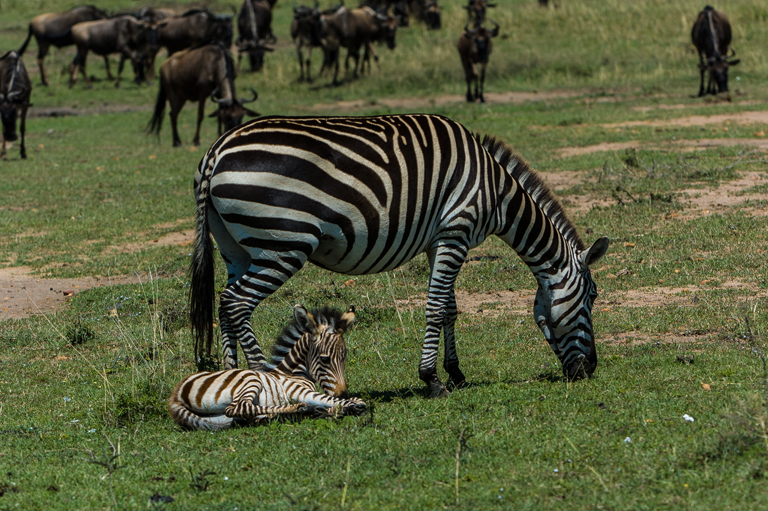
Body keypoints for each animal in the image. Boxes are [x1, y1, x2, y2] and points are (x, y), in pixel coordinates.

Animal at [167, 304, 364, 432]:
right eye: (324, 359)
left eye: (344, 358)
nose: (342, 393)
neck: (292, 371)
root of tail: (175, 394)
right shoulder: (297, 390)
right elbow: (334, 401)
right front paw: (350, 404)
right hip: (249, 379)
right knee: (239, 407)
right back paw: (300, 409)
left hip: (217, 416)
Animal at [190, 115, 608, 400]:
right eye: (592, 298)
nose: (589, 369)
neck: (496, 191)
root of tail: (216, 151)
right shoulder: (456, 229)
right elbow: (436, 308)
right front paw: (433, 379)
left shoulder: (439, 239)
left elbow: (450, 309)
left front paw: (456, 373)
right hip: (283, 243)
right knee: (238, 303)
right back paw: (263, 380)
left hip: (235, 247)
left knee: (225, 303)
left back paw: (230, 380)